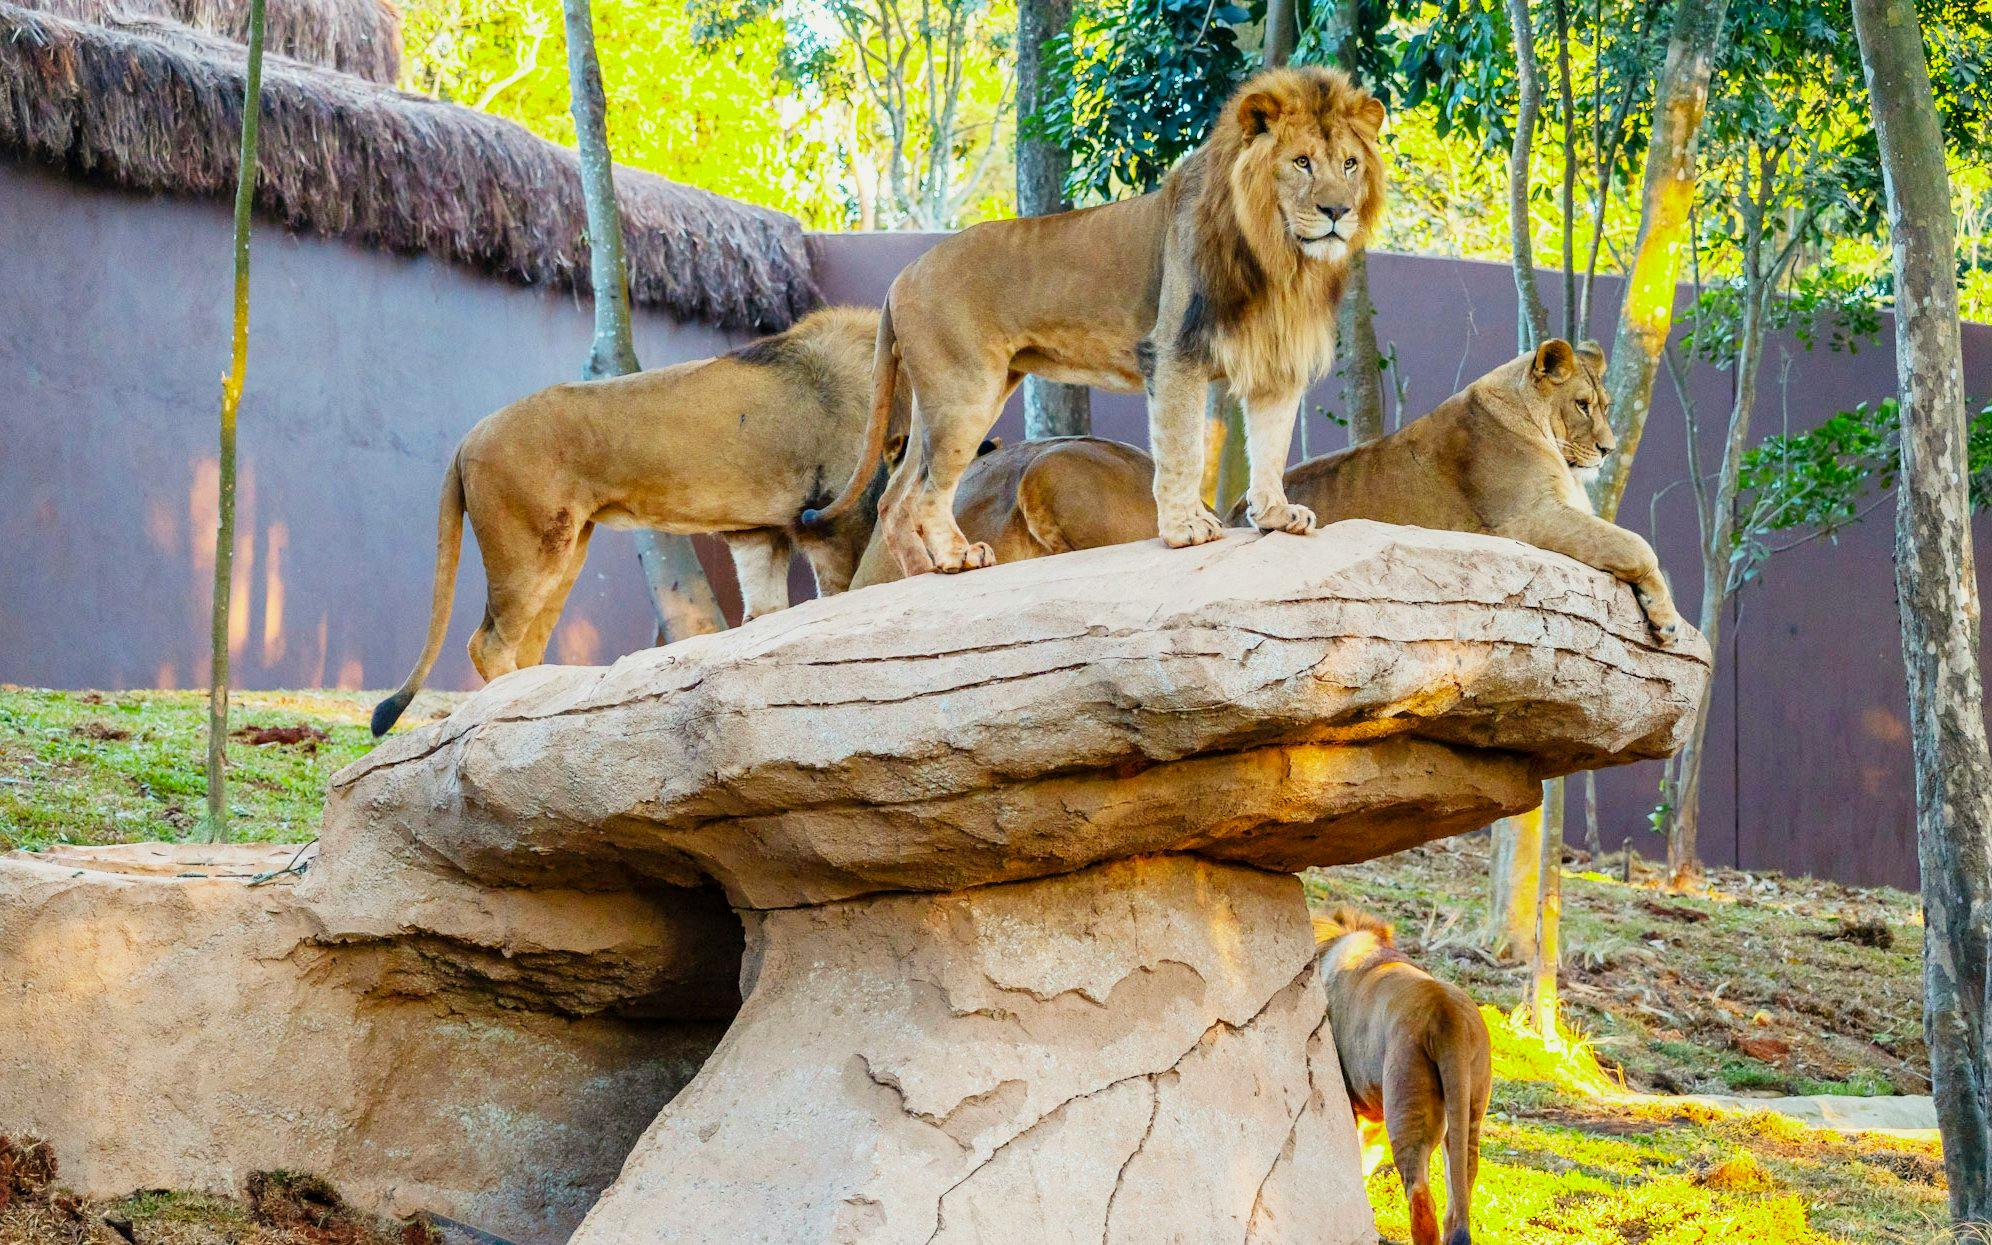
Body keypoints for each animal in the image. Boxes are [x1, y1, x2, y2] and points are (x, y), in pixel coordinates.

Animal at [370, 305, 903, 736]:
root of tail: (468, 437)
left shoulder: (762, 532)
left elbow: (768, 618)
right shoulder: (835, 520)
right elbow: (839, 604)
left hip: (566, 550)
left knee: (524, 646)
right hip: (530, 551)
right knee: (488, 643)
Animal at [801, 65, 1386, 577]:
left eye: (1350, 164)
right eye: (1302, 162)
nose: (1338, 212)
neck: (1280, 258)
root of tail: (900, 276)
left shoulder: (1274, 364)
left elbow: (1270, 447)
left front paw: (1276, 517)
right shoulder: (1174, 351)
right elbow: (1182, 449)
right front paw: (1185, 529)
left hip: (939, 399)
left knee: (895, 499)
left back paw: (922, 574)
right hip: (965, 392)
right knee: (926, 493)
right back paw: (956, 558)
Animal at [1313, 908, 1492, 1245]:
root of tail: (1445, 1010)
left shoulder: (1353, 1102)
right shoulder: (1374, 1115)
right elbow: (1364, 1161)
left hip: (1407, 1109)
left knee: (1421, 1198)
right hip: (1469, 1112)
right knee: (1457, 1203)